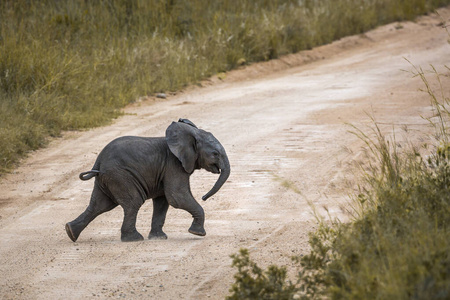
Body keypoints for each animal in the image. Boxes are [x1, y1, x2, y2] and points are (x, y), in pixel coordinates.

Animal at [65, 118, 230, 243]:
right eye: (215, 153)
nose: (204, 197)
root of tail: (98, 162)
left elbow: (163, 201)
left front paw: (159, 238)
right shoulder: (173, 164)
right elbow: (176, 197)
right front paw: (198, 233)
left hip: (108, 178)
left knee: (100, 205)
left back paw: (71, 233)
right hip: (120, 176)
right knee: (132, 202)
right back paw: (134, 239)